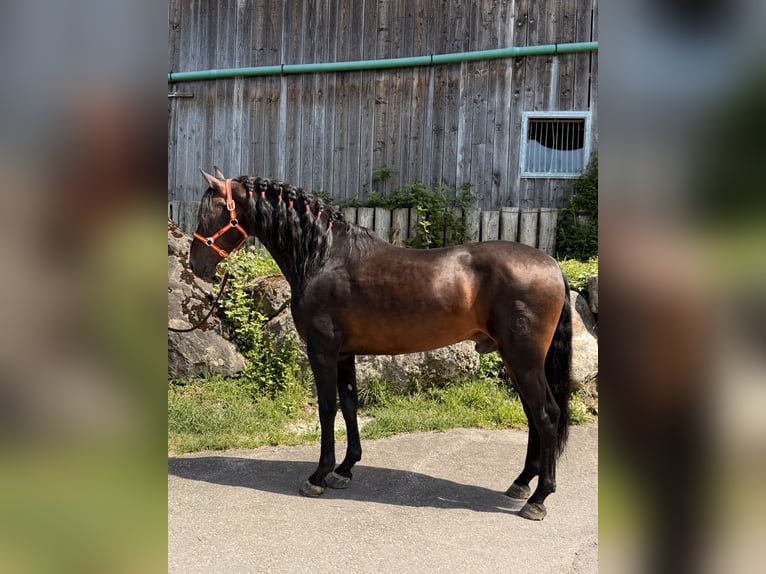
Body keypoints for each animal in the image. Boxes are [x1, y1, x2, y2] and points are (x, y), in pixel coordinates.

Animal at [188, 169, 573, 521]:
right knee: (532, 414)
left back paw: (538, 498)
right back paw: (521, 483)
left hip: (522, 359)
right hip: (516, 361)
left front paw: (318, 476)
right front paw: (344, 469)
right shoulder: (344, 353)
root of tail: (553, 265)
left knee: (546, 414)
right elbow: (349, 405)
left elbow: (326, 409)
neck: (324, 257)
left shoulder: (322, 350)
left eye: (211, 212)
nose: (196, 265)